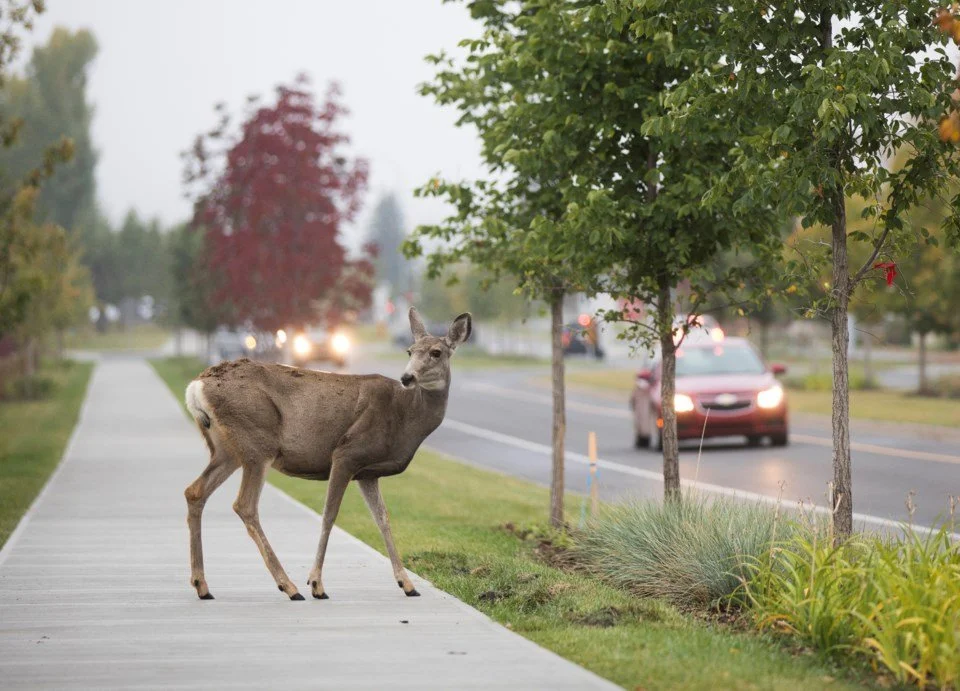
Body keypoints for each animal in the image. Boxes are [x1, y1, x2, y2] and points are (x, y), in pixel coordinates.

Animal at [182, 307, 471, 601]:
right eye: (409, 351)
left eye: (436, 352)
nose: (407, 378)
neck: (405, 415)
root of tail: (196, 386)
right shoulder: (347, 452)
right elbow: (330, 514)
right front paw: (316, 584)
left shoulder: (368, 472)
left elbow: (383, 519)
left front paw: (407, 584)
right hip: (257, 442)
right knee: (245, 505)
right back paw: (289, 587)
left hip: (226, 449)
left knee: (195, 491)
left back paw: (202, 585)